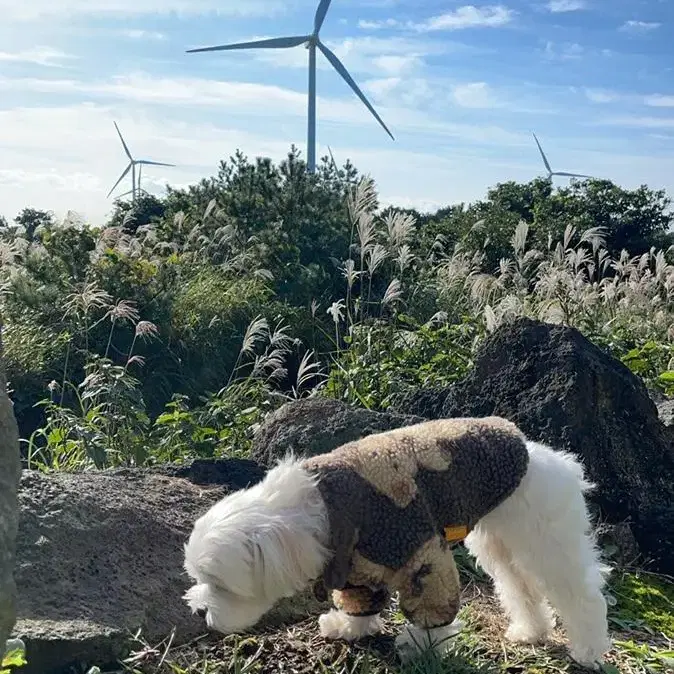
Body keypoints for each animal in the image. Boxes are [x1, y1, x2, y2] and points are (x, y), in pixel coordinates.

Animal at [182, 426, 608, 668]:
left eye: (220, 585)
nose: (199, 611)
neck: (321, 507)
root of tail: (552, 459)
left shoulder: (422, 551)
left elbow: (432, 605)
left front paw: (421, 644)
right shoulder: (355, 566)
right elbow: (361, 600)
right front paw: (348, 626)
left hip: (547, 542)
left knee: (583, 596)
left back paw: (588, 650)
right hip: (499, 546)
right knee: (520, 588)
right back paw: (530, 631)